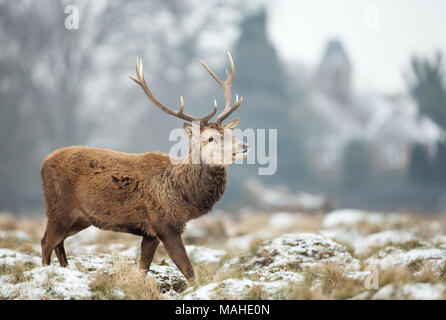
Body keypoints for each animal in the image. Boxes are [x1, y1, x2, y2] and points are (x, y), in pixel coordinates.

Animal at [39, 52, 247, 280]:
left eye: (230, 132)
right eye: (210, 138)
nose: (244, 146)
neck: (180, 194)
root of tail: (44, 162)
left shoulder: (150, 233)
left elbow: (143, 269)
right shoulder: (164, 224)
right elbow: (188, 270)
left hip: (80, 218)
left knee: (59, 243)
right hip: (58, 208)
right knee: (46, 242)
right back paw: (46, 272)